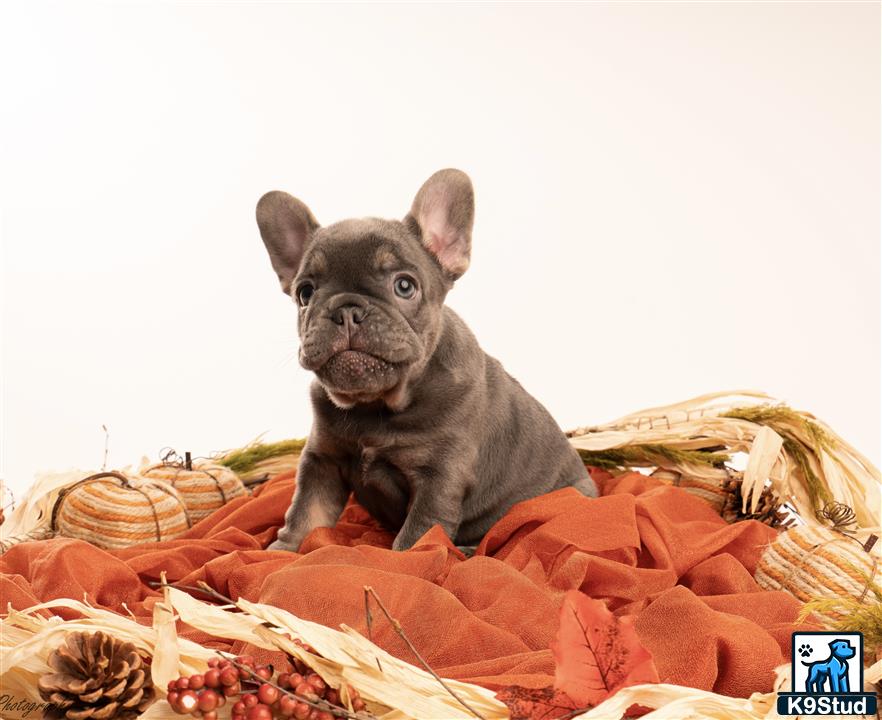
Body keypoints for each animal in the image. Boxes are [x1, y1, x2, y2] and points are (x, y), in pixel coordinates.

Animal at [258, 169, 596, 552]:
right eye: (305, 293)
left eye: (404, 286)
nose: (346, 310)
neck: (375, 406)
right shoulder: (322, 460)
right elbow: (305, 512)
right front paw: (283, 551)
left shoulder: (440, 476)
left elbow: (418, 534)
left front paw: (408, 557)